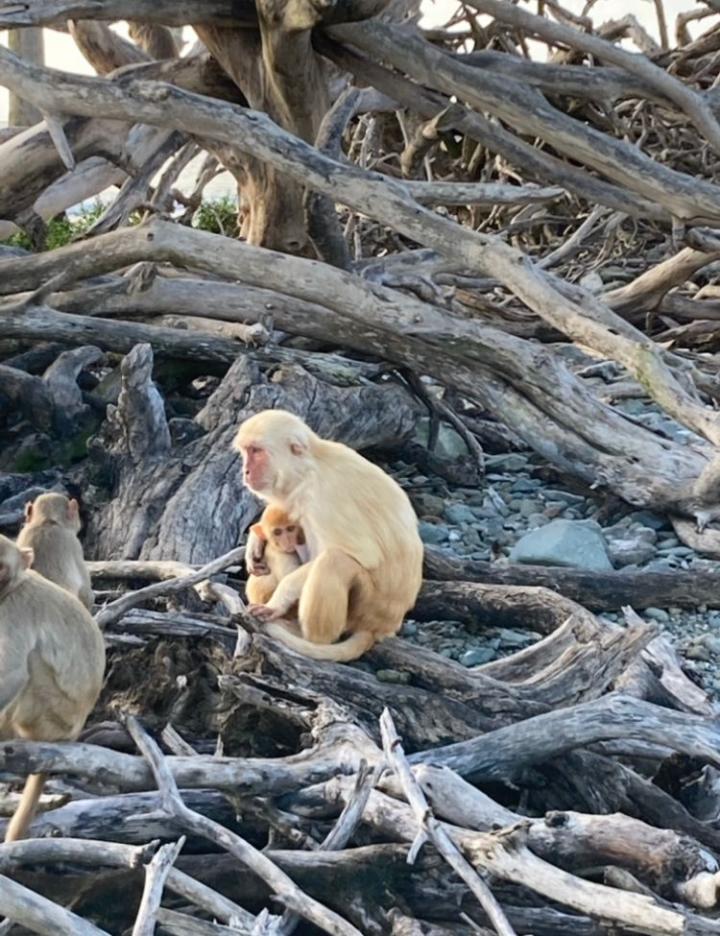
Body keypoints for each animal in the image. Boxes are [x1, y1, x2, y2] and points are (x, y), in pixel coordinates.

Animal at [0, 532, 105, 840]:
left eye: (0, 568)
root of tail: (74, 731)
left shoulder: (12, 611)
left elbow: (14, 672)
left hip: (49, 715)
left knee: (33, 664)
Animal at [233, 408, 424, 660]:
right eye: (246, 451)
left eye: (257, 451)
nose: (245, 471)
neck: (308, 469)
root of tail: (381, 628)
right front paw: (255, 540)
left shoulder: (324, 499)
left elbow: (362, 554)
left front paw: (277, 602)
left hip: (365, 609)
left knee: (334, 560)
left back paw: (313, 639)